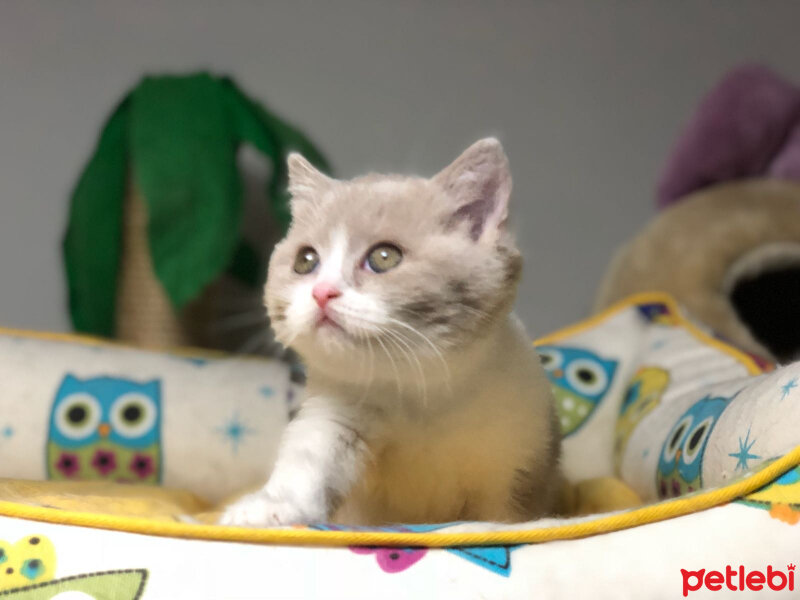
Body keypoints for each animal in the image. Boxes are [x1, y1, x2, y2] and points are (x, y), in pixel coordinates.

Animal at [220, 136, 564, 524]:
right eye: (305, 261)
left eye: (384, 257)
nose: (322, 292)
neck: (421, 389)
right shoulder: (336, 410)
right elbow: (310, 458)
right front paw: (270, 507)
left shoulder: (522, 447)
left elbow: (504, 515)